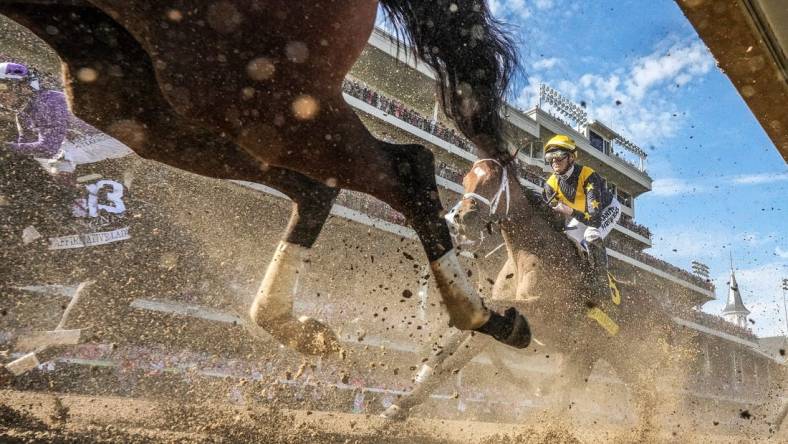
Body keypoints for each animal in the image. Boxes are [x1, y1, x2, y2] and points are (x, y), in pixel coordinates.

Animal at [1, 0, 528, 354]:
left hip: (235, 73)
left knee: (406, 166)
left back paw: (483, 316)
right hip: (130, 82)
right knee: (321, 186)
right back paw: (287, 322)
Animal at [384, 158, 684, 432]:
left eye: (492, 181)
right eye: (466, 179)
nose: (459, 219)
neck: (528, 254)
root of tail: (668, 320)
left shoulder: (545, 316)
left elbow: (464, 346)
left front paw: (401, 405)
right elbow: (458, 340)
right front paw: (415, 381)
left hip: (634, 358)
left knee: (648, 395)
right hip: (601, 355)